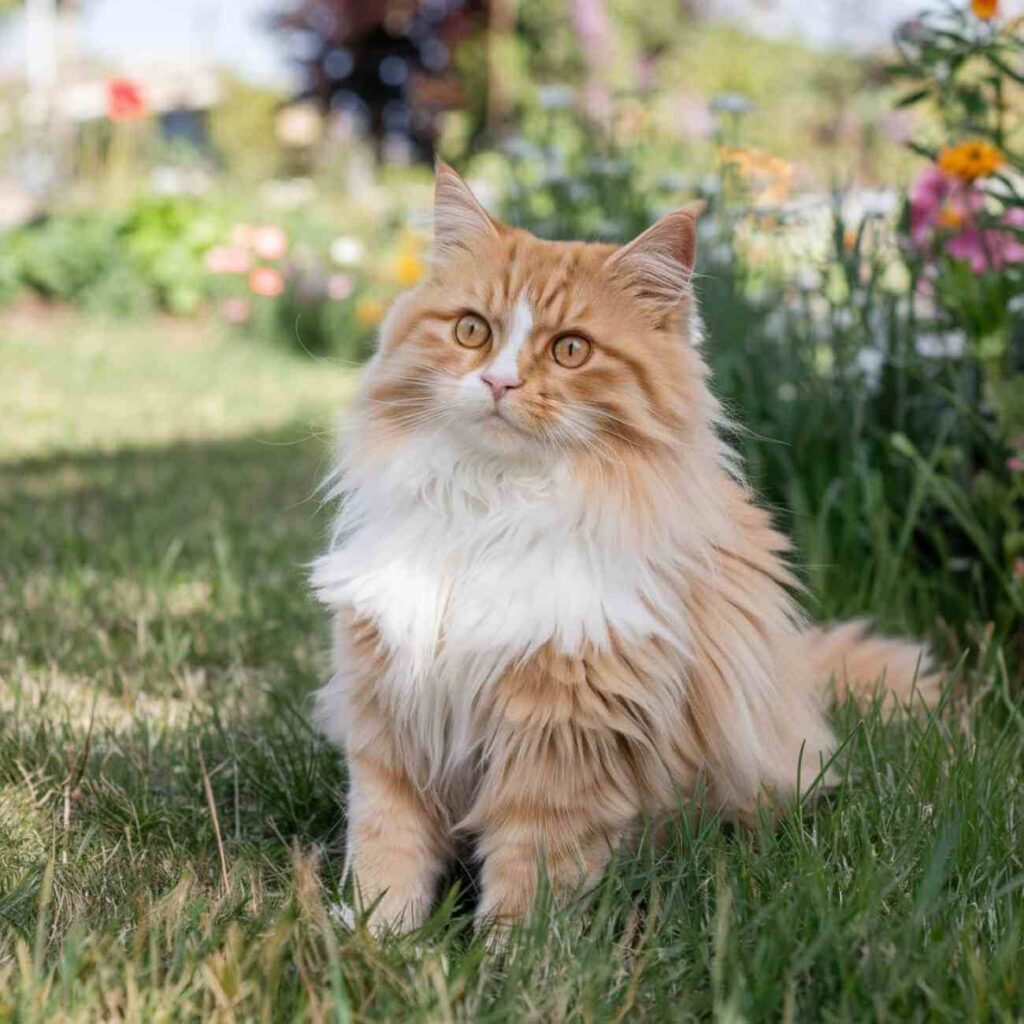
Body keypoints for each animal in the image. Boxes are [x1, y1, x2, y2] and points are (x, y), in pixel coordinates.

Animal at [309, 159, 937, 937]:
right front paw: (377, 939)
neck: (491, 506)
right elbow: (387, 849)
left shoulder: (563, 736)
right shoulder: (386, 716)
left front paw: (508, 955)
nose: (498, 381)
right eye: (471, 331)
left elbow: (529, 873)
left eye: (570, 349)